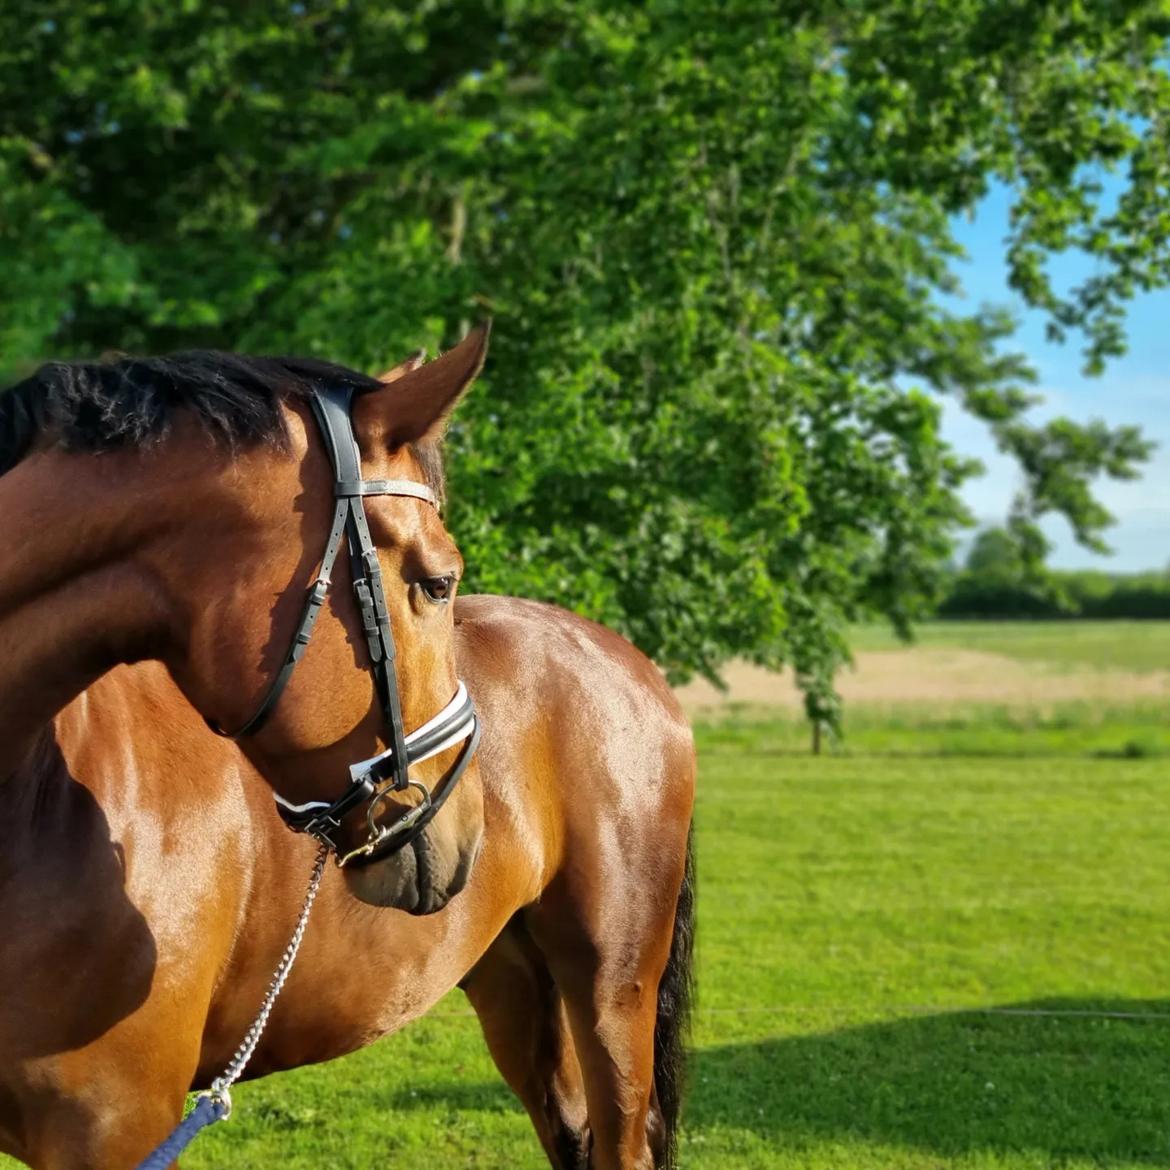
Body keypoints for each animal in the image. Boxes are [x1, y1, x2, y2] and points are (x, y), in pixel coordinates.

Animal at [0, 327, 692, 1170]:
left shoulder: (119, 1131)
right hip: (513, 981)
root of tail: (627, 660)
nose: (467, 829)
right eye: (438, 583)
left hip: (611, 989)